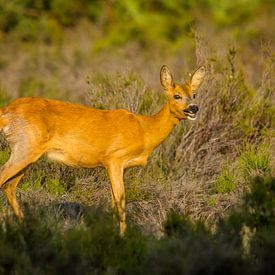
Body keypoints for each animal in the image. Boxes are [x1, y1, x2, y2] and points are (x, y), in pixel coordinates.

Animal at [0, 64, 206, 235]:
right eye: (176, 95)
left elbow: (116, 202)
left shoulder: (120, 166)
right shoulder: (114, 159)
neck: (144, 130)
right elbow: (121, 203)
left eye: (194, 94)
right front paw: (122, 238)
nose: (193, 108)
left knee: (9, 186)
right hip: (25, 147)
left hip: (29, 154)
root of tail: (6, 111)